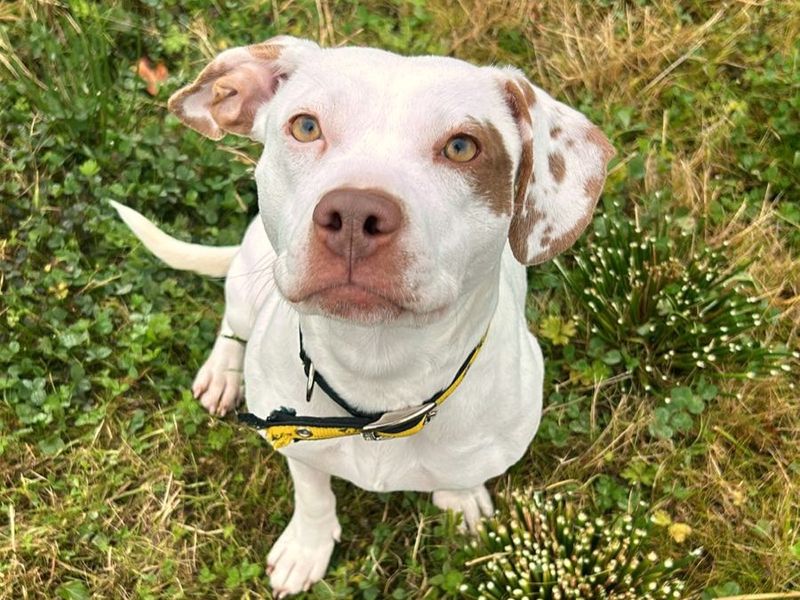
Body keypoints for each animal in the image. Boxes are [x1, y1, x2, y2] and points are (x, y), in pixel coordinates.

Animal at [111, 36, 612, 596]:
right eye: (306, 126)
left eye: (463, 147)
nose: (353, 214)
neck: (378, 376)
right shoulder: (297, 446)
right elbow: (313, 494)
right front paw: (307, 548)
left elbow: (463, 475)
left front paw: (461, 501)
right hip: (247, 275)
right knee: (232, 324)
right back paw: (222, 373)